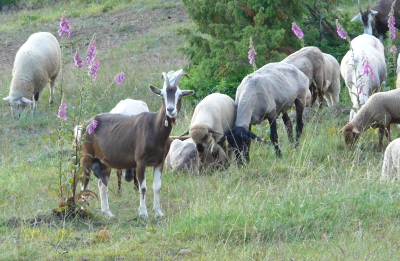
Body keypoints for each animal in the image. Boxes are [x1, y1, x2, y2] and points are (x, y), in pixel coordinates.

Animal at [78, 71, 194, 217]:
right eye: (162, 94)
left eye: (180, 94)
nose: (170, 109)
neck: (154, 128)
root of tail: (86, 124)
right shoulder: (140, 161)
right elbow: (143, 188)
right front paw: (143, 213)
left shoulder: (159, 162)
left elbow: (157, 187)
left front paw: (158, 212)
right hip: (86, 157)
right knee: (84, 184)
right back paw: (83, 211)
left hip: (102, 162)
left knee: (101, 184)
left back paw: (108, 213)